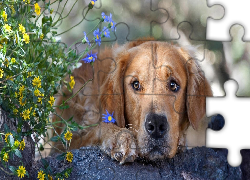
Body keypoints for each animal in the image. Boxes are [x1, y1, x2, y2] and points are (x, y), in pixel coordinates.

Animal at [52, 39, 211, 165]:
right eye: (135, 84)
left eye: (173, 85)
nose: (156, 125)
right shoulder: (64, 143)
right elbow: (96, 129)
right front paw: (120, 137)